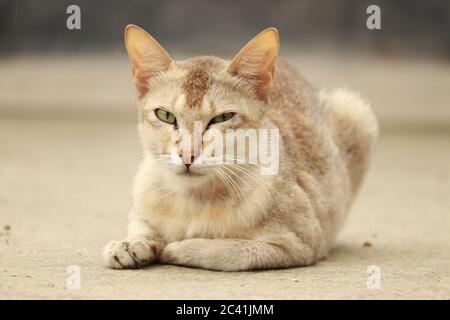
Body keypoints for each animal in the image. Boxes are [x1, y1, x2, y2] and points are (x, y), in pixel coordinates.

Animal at [101, 24, 376, 270]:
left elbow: (227, 252)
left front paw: (177, 247)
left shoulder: (297, 245)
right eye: (166, 116)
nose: (187, 154)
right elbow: (140, 224)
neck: (193, 201)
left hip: (355, 111)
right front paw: (131, 244)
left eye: (222, 118)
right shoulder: (142, 204)